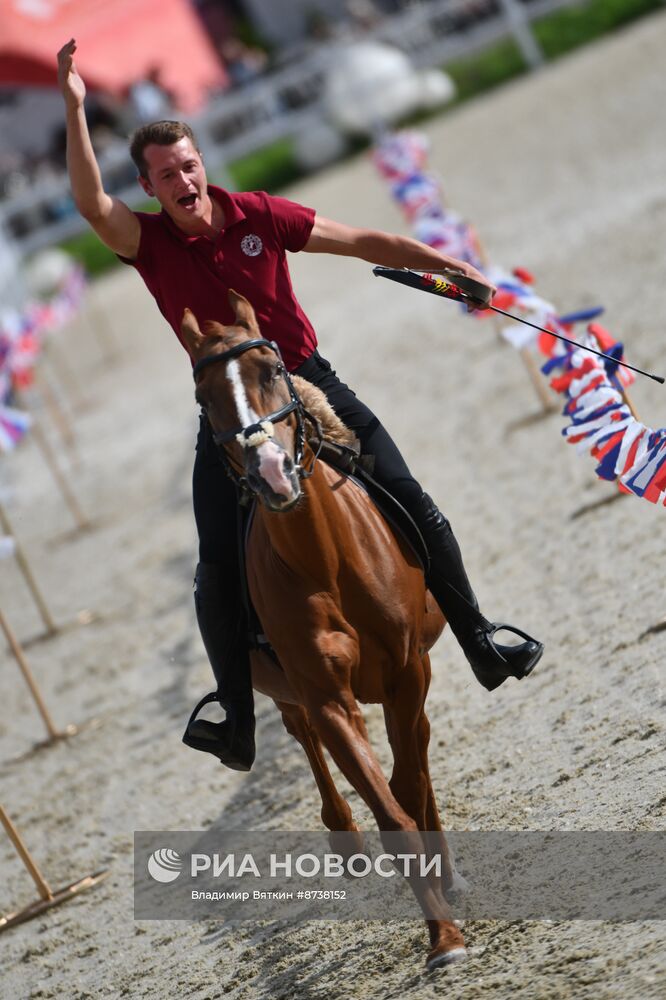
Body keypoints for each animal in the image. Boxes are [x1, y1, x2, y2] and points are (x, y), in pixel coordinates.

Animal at [179, 290, 464, 968]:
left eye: (272, 370)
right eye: (204, 397)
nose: (270, 470)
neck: (324, 558)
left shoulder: (407, 670)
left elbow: (408, 781)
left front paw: (443, 886)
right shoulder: (327, 694)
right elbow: (390, 812)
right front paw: (442, 939)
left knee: (417, 747)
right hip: (286, 689)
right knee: (302, 733)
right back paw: (347, 843)